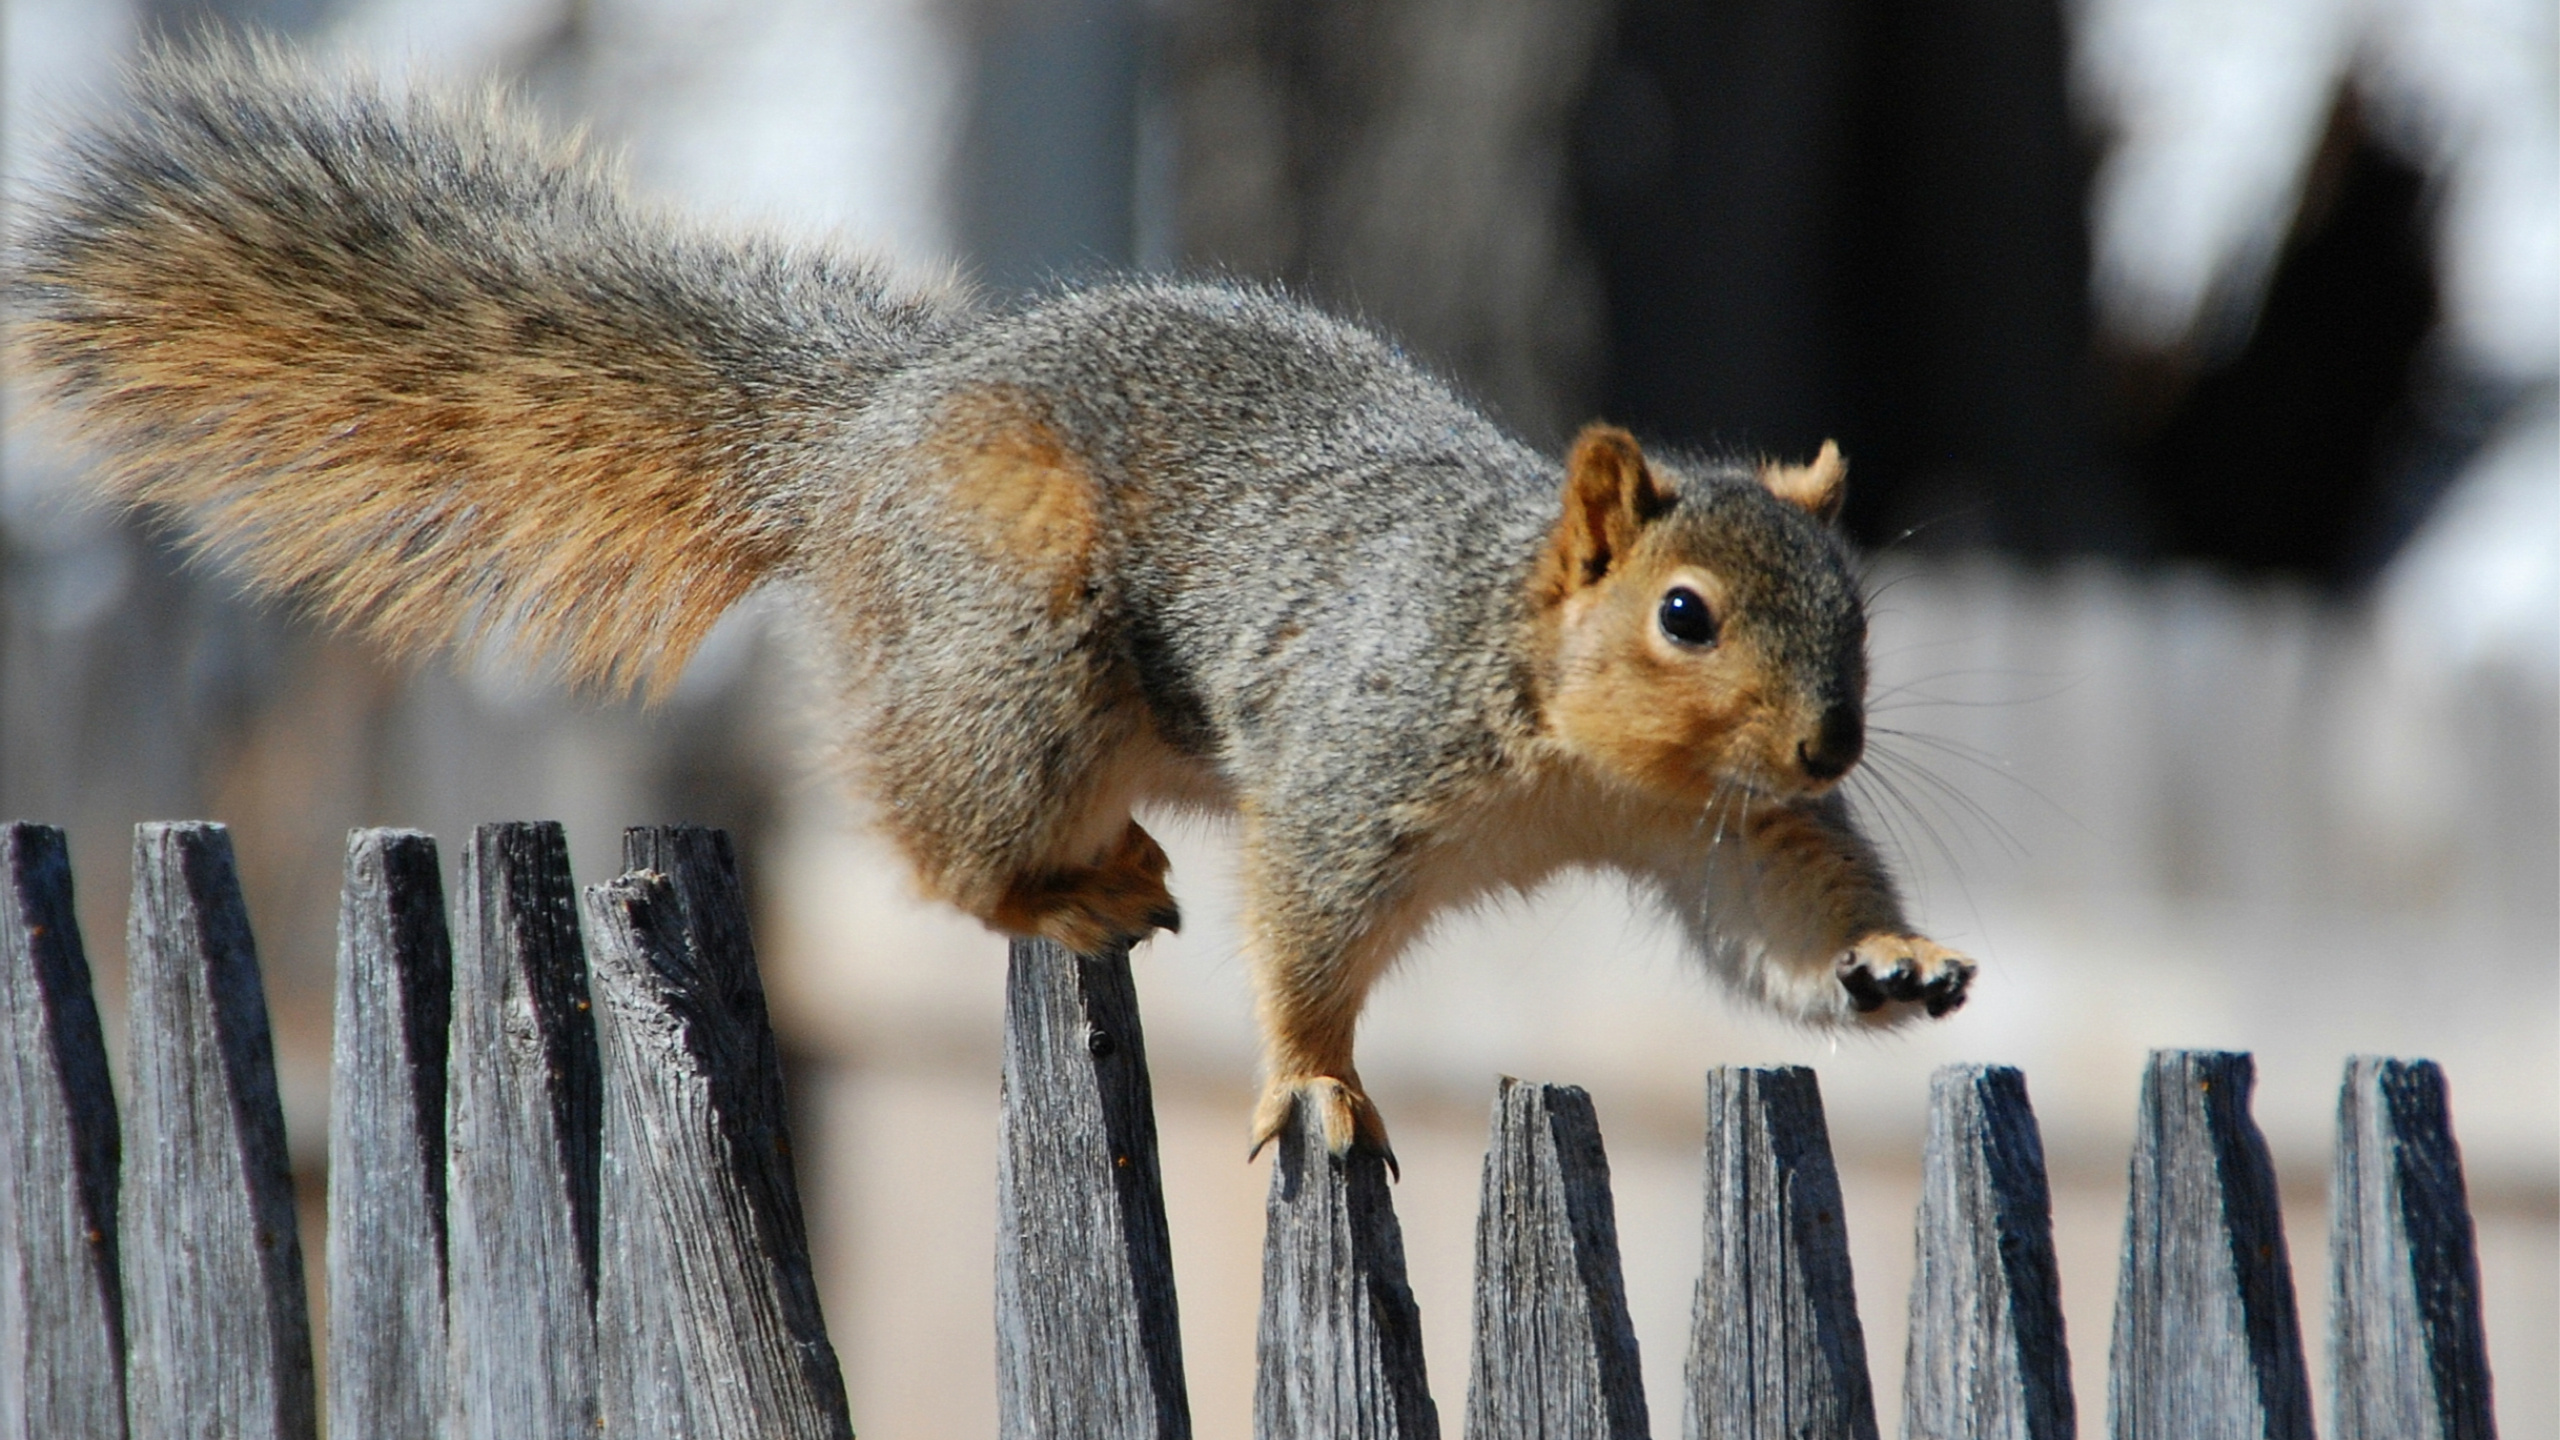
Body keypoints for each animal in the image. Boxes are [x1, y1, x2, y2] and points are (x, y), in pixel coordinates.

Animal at [8, 45, 1973, 1159]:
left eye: (1856, 606)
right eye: (1685, 616)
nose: (1833, 739)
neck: (1574, 746)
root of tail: (858, 437)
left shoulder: (1719, 830)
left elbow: (1776, 913)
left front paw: (1890, 960)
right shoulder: (1357, 761)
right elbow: (1309, 938)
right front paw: (1314, 1086)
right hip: (1012, 654)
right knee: (936, 841)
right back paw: (1063, 885)